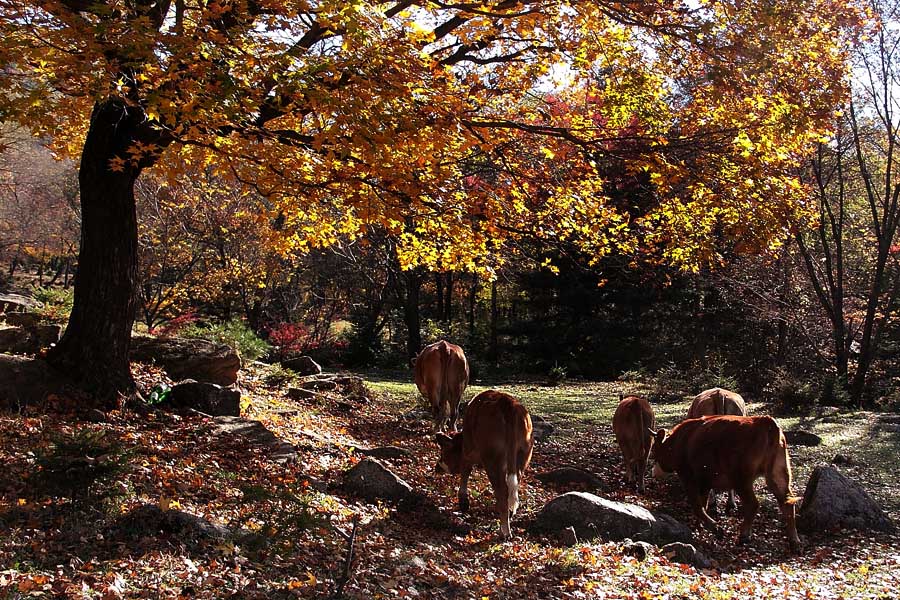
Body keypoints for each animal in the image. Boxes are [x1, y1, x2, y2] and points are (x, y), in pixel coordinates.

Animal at [436, 390, 536, 540]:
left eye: (443, 453)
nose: (437, 467)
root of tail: (508, 403)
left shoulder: (467, 453)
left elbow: (465, 473)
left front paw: (463, 502)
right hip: (523, 454)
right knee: (512, 489)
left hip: (492, 459)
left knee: (502, 492)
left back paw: (505, 532)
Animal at [648, 418, 800, 552]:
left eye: (654, 451)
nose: (653, 472)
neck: (679, 441)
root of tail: (765, 422)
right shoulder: (705, 482)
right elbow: (703, 504)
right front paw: (699, 526)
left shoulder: (688, 477)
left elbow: (697, 506)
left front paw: (716, 529)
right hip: (779, 475)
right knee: (787, 503)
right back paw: (794, 541)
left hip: (741, 480)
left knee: (753, 504)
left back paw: (744, 536)